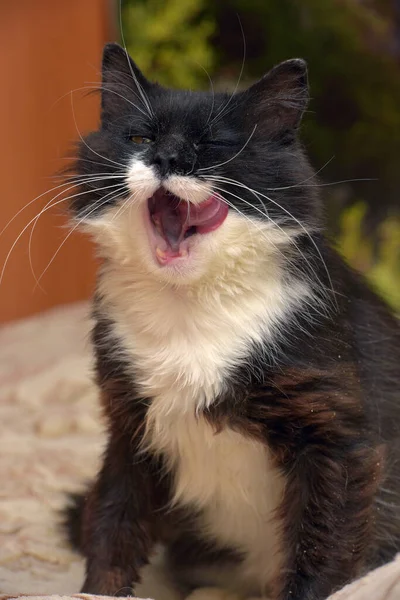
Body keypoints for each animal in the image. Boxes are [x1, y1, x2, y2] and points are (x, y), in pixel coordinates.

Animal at [64, 43, 400, 600]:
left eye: (214, 146)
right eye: (140, 138)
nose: (167, 158)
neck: (188, 310)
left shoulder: (338, 437)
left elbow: (322, 552)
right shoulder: (129, 427)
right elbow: (113, 522)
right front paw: (94, 591)